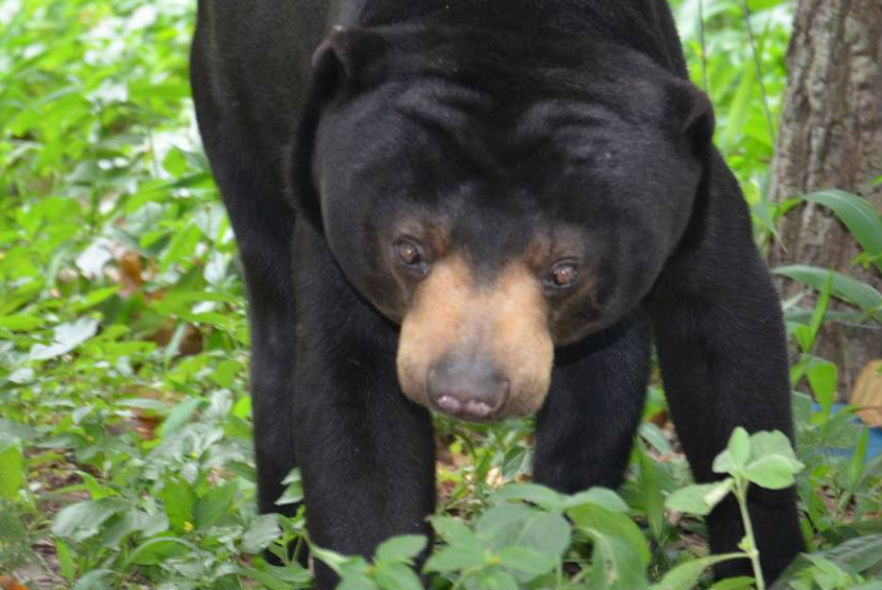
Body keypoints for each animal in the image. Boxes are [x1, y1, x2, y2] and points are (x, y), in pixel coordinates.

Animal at [191, 0, 804, 588]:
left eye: (563, 269)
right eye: (409, 250)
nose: (465, 392)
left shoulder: (695, 198)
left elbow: (729, 352)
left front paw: (762, 564)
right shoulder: (330, 222)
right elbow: (354, 397)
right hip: (233, 111)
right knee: (274, 321)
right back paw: (281, 539)